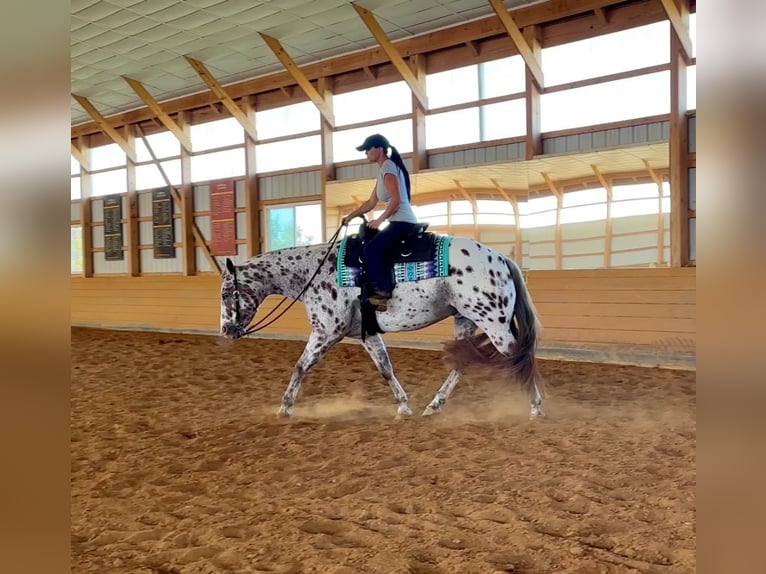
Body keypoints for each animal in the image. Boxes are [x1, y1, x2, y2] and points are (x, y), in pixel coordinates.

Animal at [219, 230, 544, 419]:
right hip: (465, 318)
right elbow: (385, 368)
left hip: (494, 323)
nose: (226, 331)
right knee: (462, 364)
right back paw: (434, 405)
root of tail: (500, 258)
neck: (314, 272)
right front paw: (403, 406)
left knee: (520, 358)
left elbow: (300, 367)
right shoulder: (367, 334)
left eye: (225, 293)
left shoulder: (327, 331)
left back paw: (535, 406)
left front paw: (285, 407)